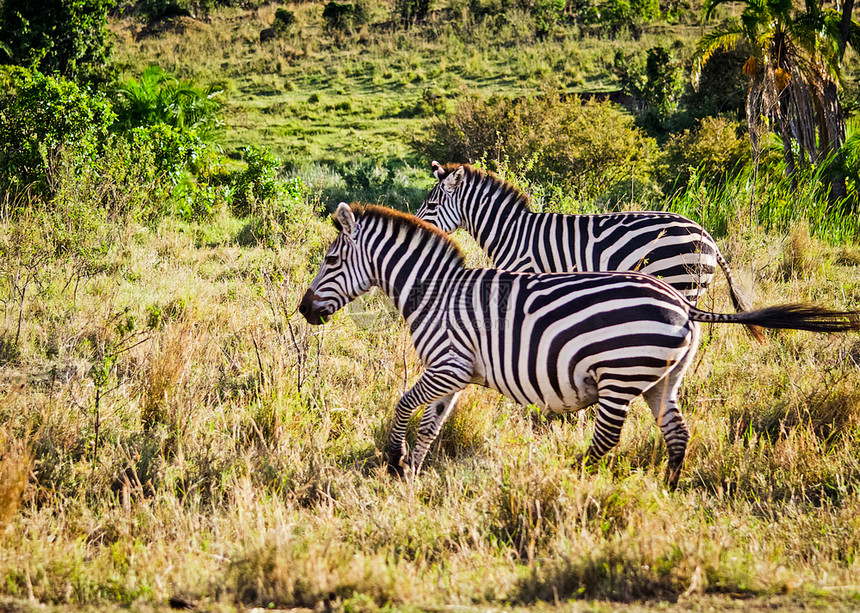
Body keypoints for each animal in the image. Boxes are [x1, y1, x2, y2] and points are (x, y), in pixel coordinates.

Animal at [298, 203, 860, 486]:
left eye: (330, 260)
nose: (304, 310)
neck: (435, 292)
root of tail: (683, 305)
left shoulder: (448, 365)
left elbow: (403, 407)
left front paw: (394, 460)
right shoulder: (452, 374)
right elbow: (431, 424)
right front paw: (411, 475)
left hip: (620, 376)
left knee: (607, 441)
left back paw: (569, 482)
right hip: (662, 379)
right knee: (678, 434)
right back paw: (667, 489)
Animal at [416, 161, 760, 340]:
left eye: (431, 205)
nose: (416, 228)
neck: (510, 230)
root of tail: (707, 236)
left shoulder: (525, 277)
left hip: (680, 281)